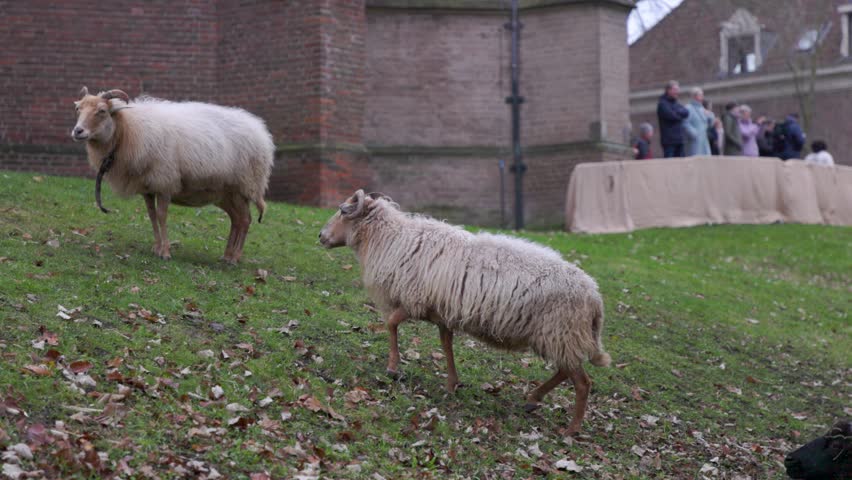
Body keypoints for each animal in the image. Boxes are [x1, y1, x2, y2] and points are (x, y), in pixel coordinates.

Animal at [70, 86, 274, 263]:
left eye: (102, 111)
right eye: (78, 109)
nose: (77, 131)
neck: (127, 129)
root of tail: (261, 132)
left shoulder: (165, 183)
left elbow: (162, 216)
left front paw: (165, 252)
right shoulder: (148, 187)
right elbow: (152, 215)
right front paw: (156, 247)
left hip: (244, 186)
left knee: (245, 220)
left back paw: (234, 258)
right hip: (225, 193)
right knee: (237, 220)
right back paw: (227, 255)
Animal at [319, 190, 611, 435]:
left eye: (343, 211)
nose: (320, 236)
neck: (390, 238)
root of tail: (595, 296)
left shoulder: (415, 301)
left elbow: (390, 323)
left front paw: (392, 367)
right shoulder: (441, 312)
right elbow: (446, 344)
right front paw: (451, 384)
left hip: (561, 333)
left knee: (582, 382)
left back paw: (571, 429)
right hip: (559, 337)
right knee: (565, 371)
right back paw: (533, 399)